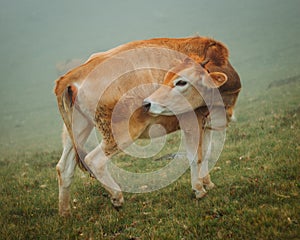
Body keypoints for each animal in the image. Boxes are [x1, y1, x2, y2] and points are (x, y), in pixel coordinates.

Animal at [54, 36, 241, 217]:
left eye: (181, 82)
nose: (147, 103)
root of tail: (72, 75)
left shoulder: (206, 123)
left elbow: (208, 153)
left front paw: (208, 183)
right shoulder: (191, 120)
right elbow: (196, 156)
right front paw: (199, 190)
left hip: (76, 131)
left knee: (64, 168)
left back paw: (64, 212)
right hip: (120, 133)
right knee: (94, 160)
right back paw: (117, 197)